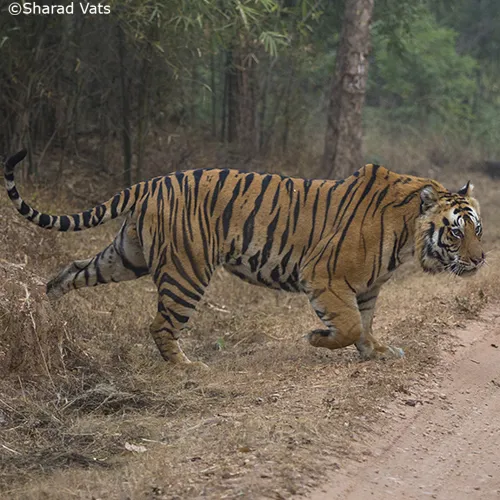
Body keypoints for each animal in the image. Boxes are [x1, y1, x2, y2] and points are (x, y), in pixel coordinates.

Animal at [0, 150, 484, 366]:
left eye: (477, 229)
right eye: (456, 232)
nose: (480, 262)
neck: (407, 235)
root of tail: (153, 181)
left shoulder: (365, 287)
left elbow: (364, 324)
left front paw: (377, 352)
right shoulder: (326, 277)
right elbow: (346, 326)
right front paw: (317, 339)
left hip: (125, 256)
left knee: (73, 270)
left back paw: (46, 303)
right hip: (187, 271)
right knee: (161, 324)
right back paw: (185, 367)